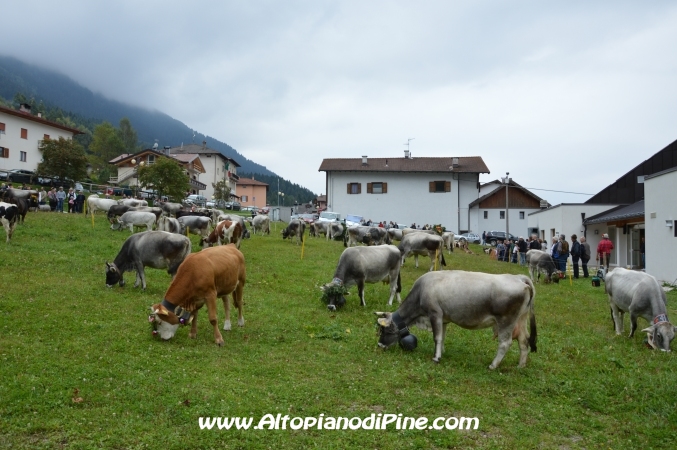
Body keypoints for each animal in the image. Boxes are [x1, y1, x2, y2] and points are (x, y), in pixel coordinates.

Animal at [372, 270, 536, 370]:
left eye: (385, 330)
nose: (379, 345)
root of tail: (518, 277)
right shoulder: (444, 319)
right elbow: (443, 336)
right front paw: (442, 352)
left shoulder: (435, 314)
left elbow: (437, 337)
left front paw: (436, 357)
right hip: (520, 320)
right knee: (524, 341)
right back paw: (520, 365)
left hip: (506, 321)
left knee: (505, 343)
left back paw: (493, 365)